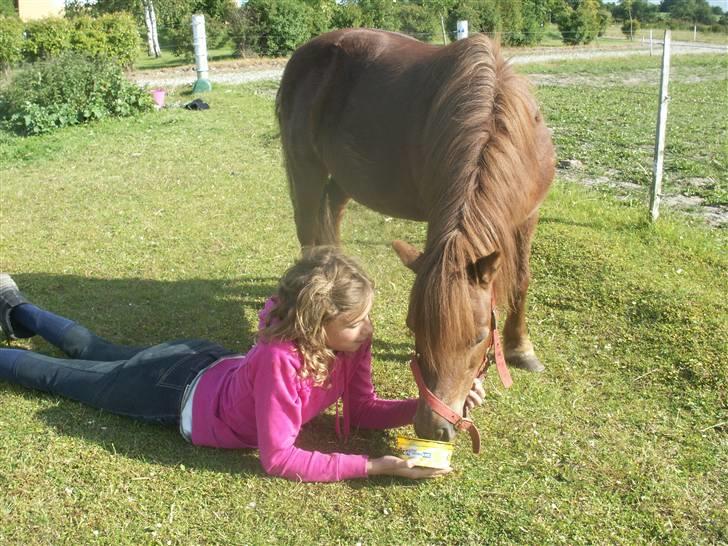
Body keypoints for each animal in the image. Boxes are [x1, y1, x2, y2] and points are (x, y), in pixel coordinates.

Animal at [276, 28, 556, 442]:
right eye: (415, 329)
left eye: (479, 338)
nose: (432, 425)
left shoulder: (527, 217)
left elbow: (521, 280)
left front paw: (521, 349)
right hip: (305, 167)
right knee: (309, 227)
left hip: (344, 177)